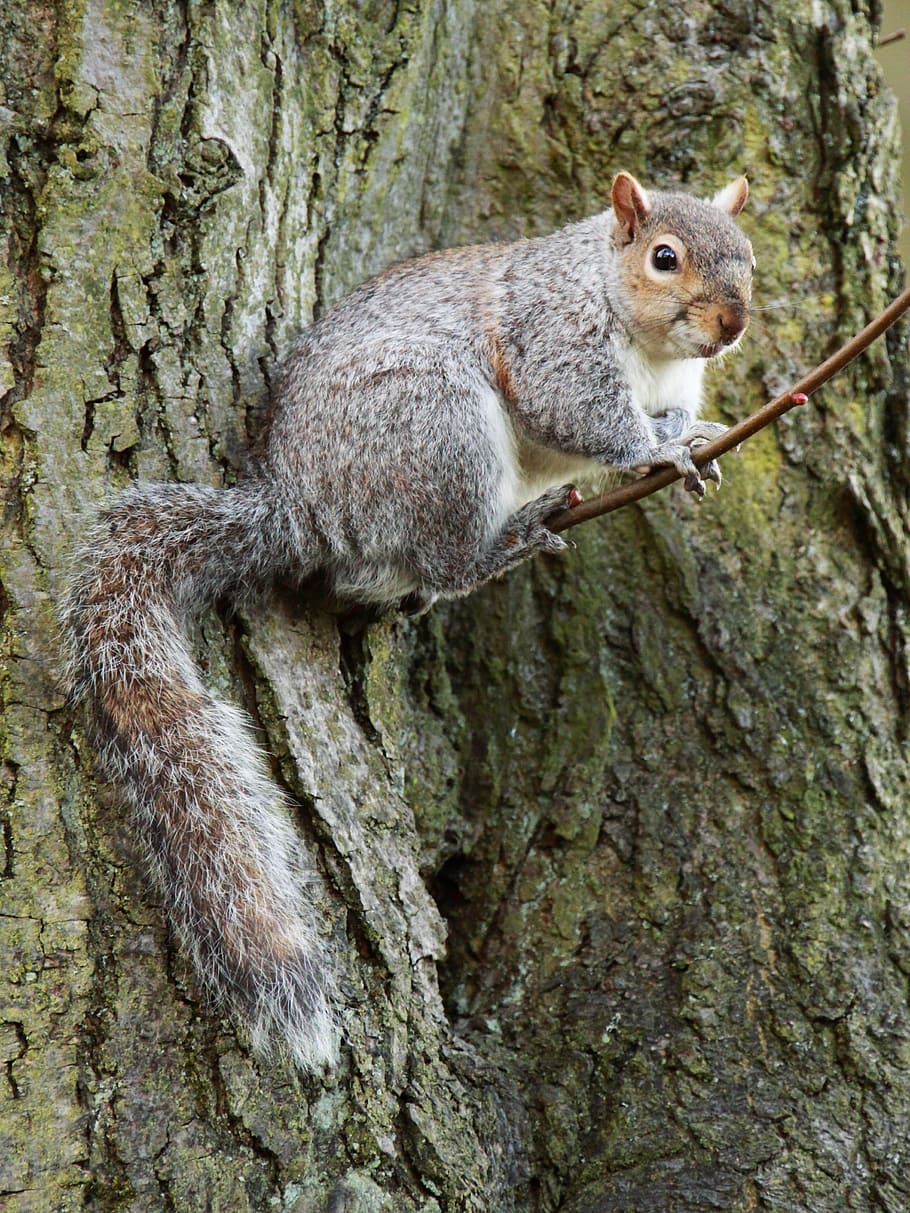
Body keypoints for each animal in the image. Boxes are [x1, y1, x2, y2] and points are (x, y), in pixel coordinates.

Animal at [64, 173, 757, 1072]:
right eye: (664, 257)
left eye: (748, 256)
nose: (733, 322)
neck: (640, 335)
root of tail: (295, 511)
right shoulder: (554, 341)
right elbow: (586, 418)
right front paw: (656, 454)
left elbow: (670, 417)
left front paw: (695, 436)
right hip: (434, 427)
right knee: (447, 559)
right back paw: (508, 539)